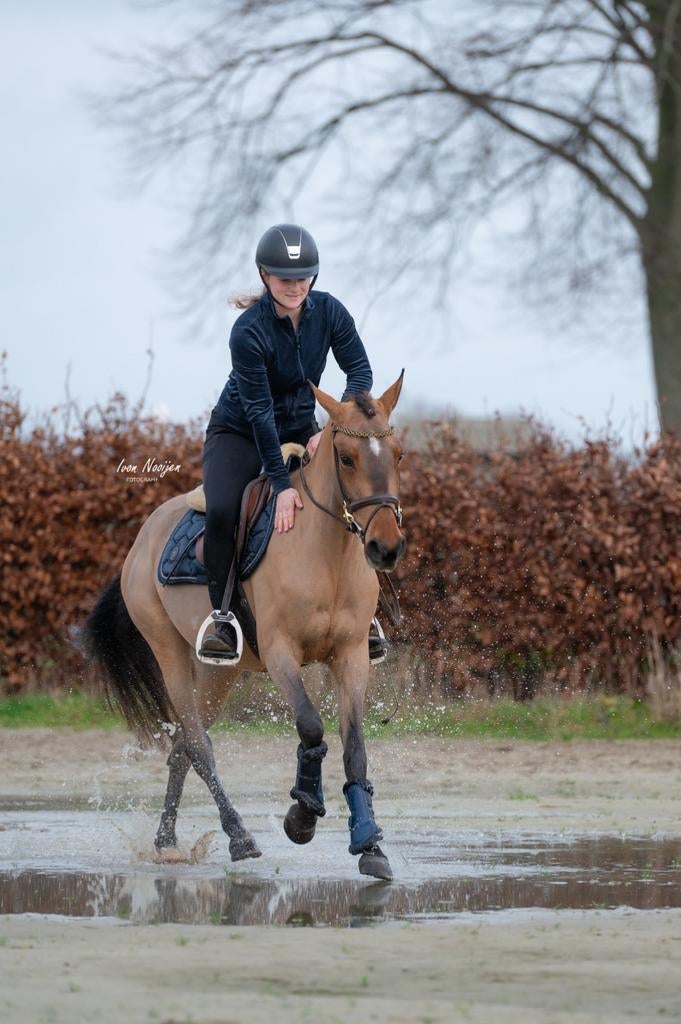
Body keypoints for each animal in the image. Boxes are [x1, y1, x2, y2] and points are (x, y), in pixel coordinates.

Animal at [84, 374, 406, 881]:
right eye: (347, 458)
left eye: (398, 456)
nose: (385, 548)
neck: (326, 552)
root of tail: (143, 537)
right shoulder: (280, 652)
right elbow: (311, 727)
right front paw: (301, 817)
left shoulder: (352, 654)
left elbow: (354, 746)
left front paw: (369, 843)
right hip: (170, 655)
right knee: (199, 746)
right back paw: (237, 836)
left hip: (220, 672)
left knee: (182, 746)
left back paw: (167, 842)